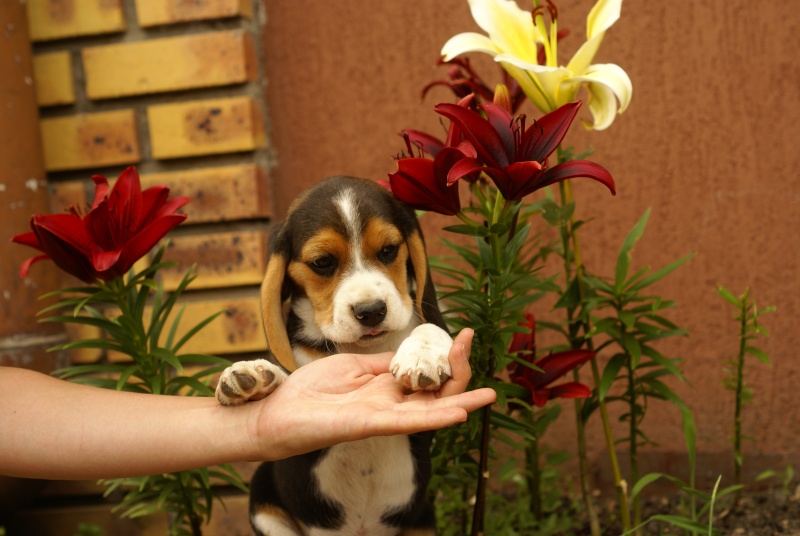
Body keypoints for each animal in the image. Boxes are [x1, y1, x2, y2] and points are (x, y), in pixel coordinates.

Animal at [217, 177, 456, 536]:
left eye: (389, 250)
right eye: (322, 262)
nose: (371, 311)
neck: (363, 347)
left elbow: (429, 327)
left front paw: (422, 356)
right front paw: (249, 376)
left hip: (422, 518)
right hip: (263, 501)